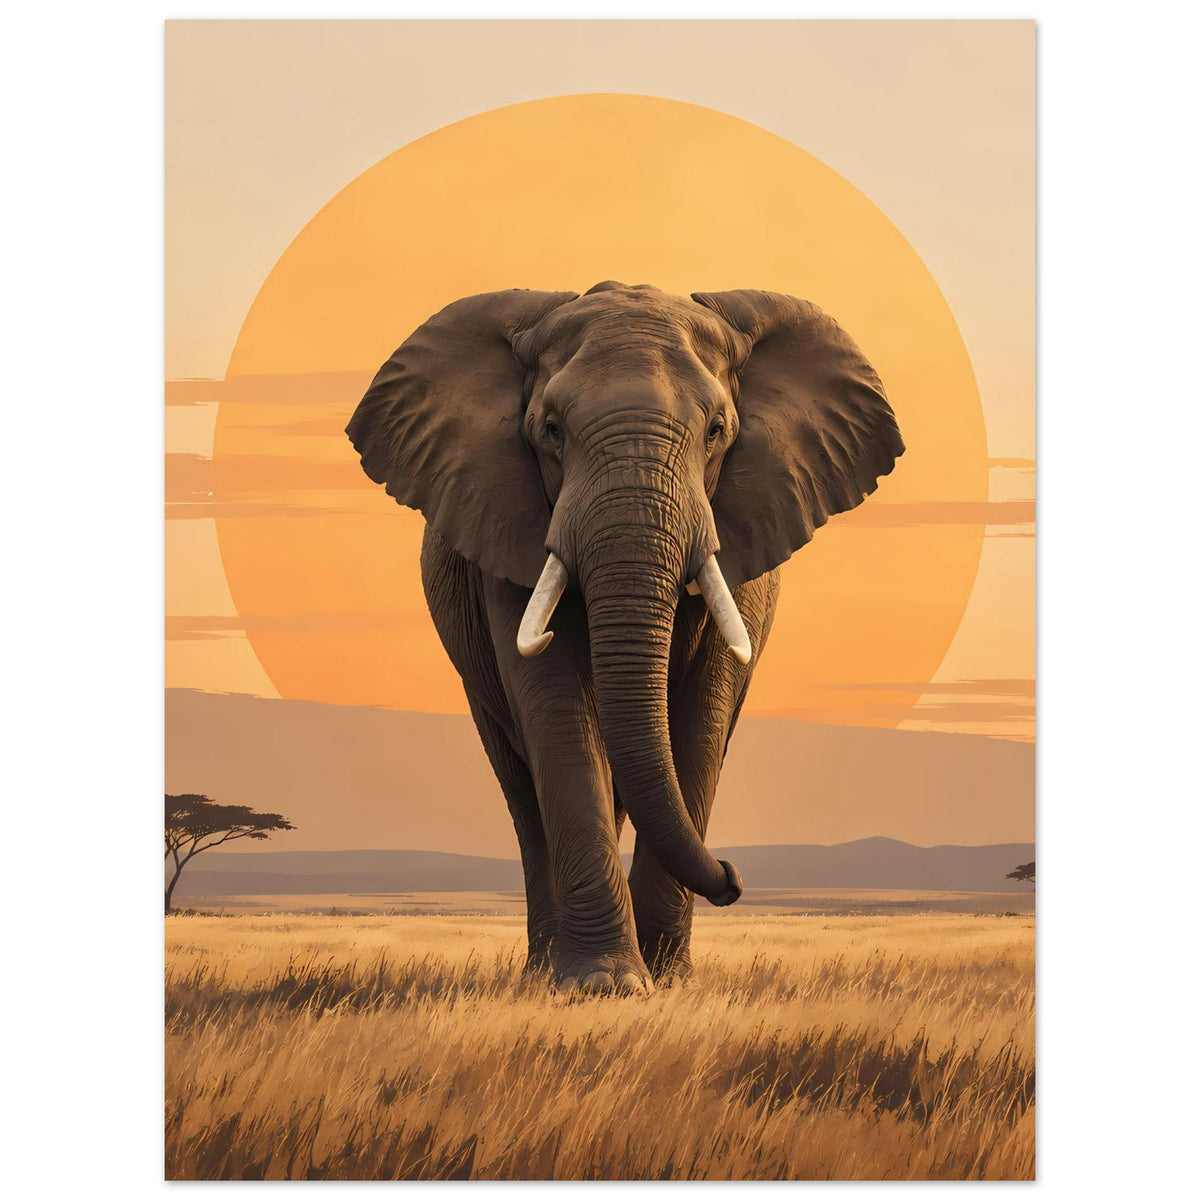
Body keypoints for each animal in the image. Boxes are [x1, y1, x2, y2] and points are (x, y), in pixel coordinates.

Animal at [346, 282, 903, 994]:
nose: (733, 878)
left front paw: (668, 984)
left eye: (718, 431)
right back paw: (542, 973)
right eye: (550, 430)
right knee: (523, 788)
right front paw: (604, 987)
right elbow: (556, 709)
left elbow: (702, 717)